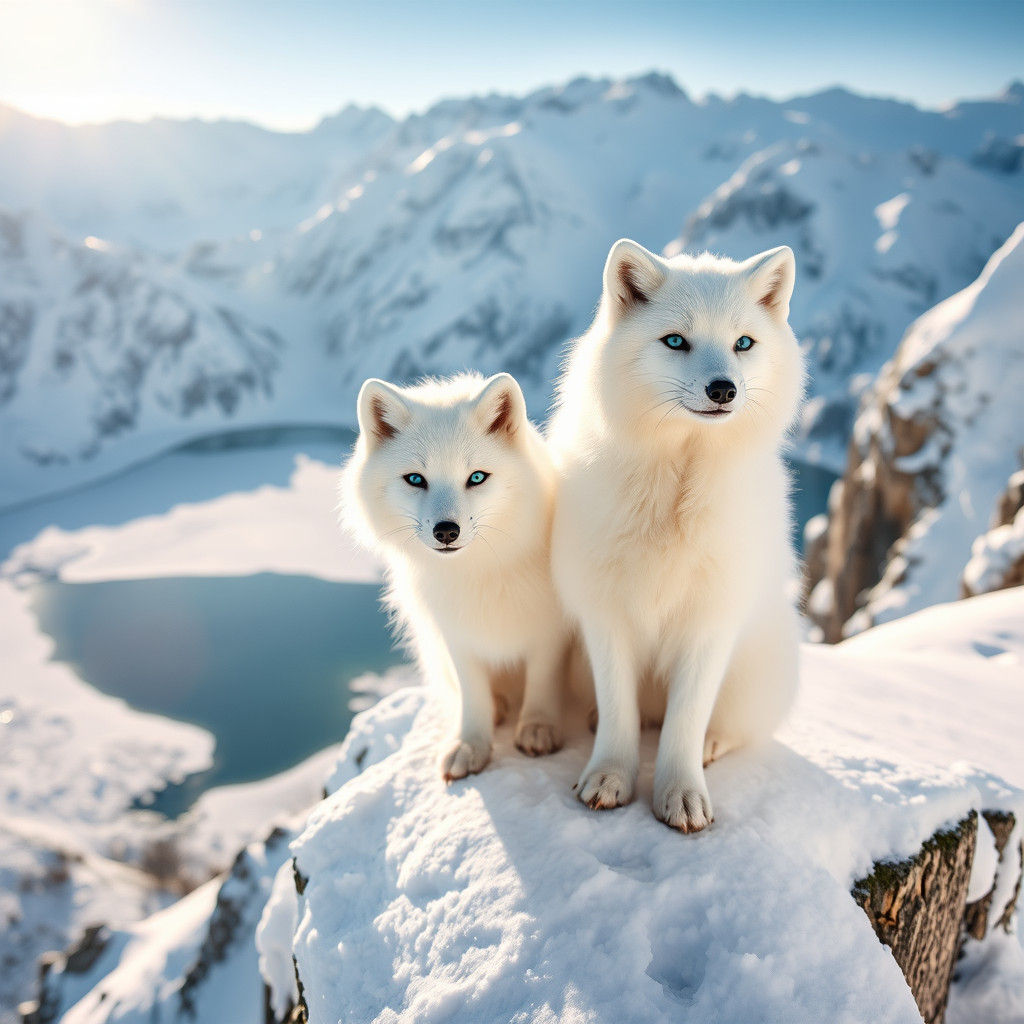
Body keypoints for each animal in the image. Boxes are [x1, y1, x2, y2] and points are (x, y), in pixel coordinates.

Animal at [341, 372, 570, 781]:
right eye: (415, 479)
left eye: (476, 477)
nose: (446, 531)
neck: (481, 573)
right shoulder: (457, 635)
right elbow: (473, 695)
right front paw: (470, 744)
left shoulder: (550, 631)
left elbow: (542, 681)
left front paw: (538, 727)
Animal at [548, 239, 804, 833]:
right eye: (675, 341)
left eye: (743, 343)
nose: (723, 389)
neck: (675, 494)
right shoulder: (605, 613)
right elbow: (618, 712)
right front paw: (609, 777)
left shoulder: (710, 621)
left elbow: (685, 721)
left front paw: (681, 794)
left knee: (723, 727)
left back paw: (711, 744)